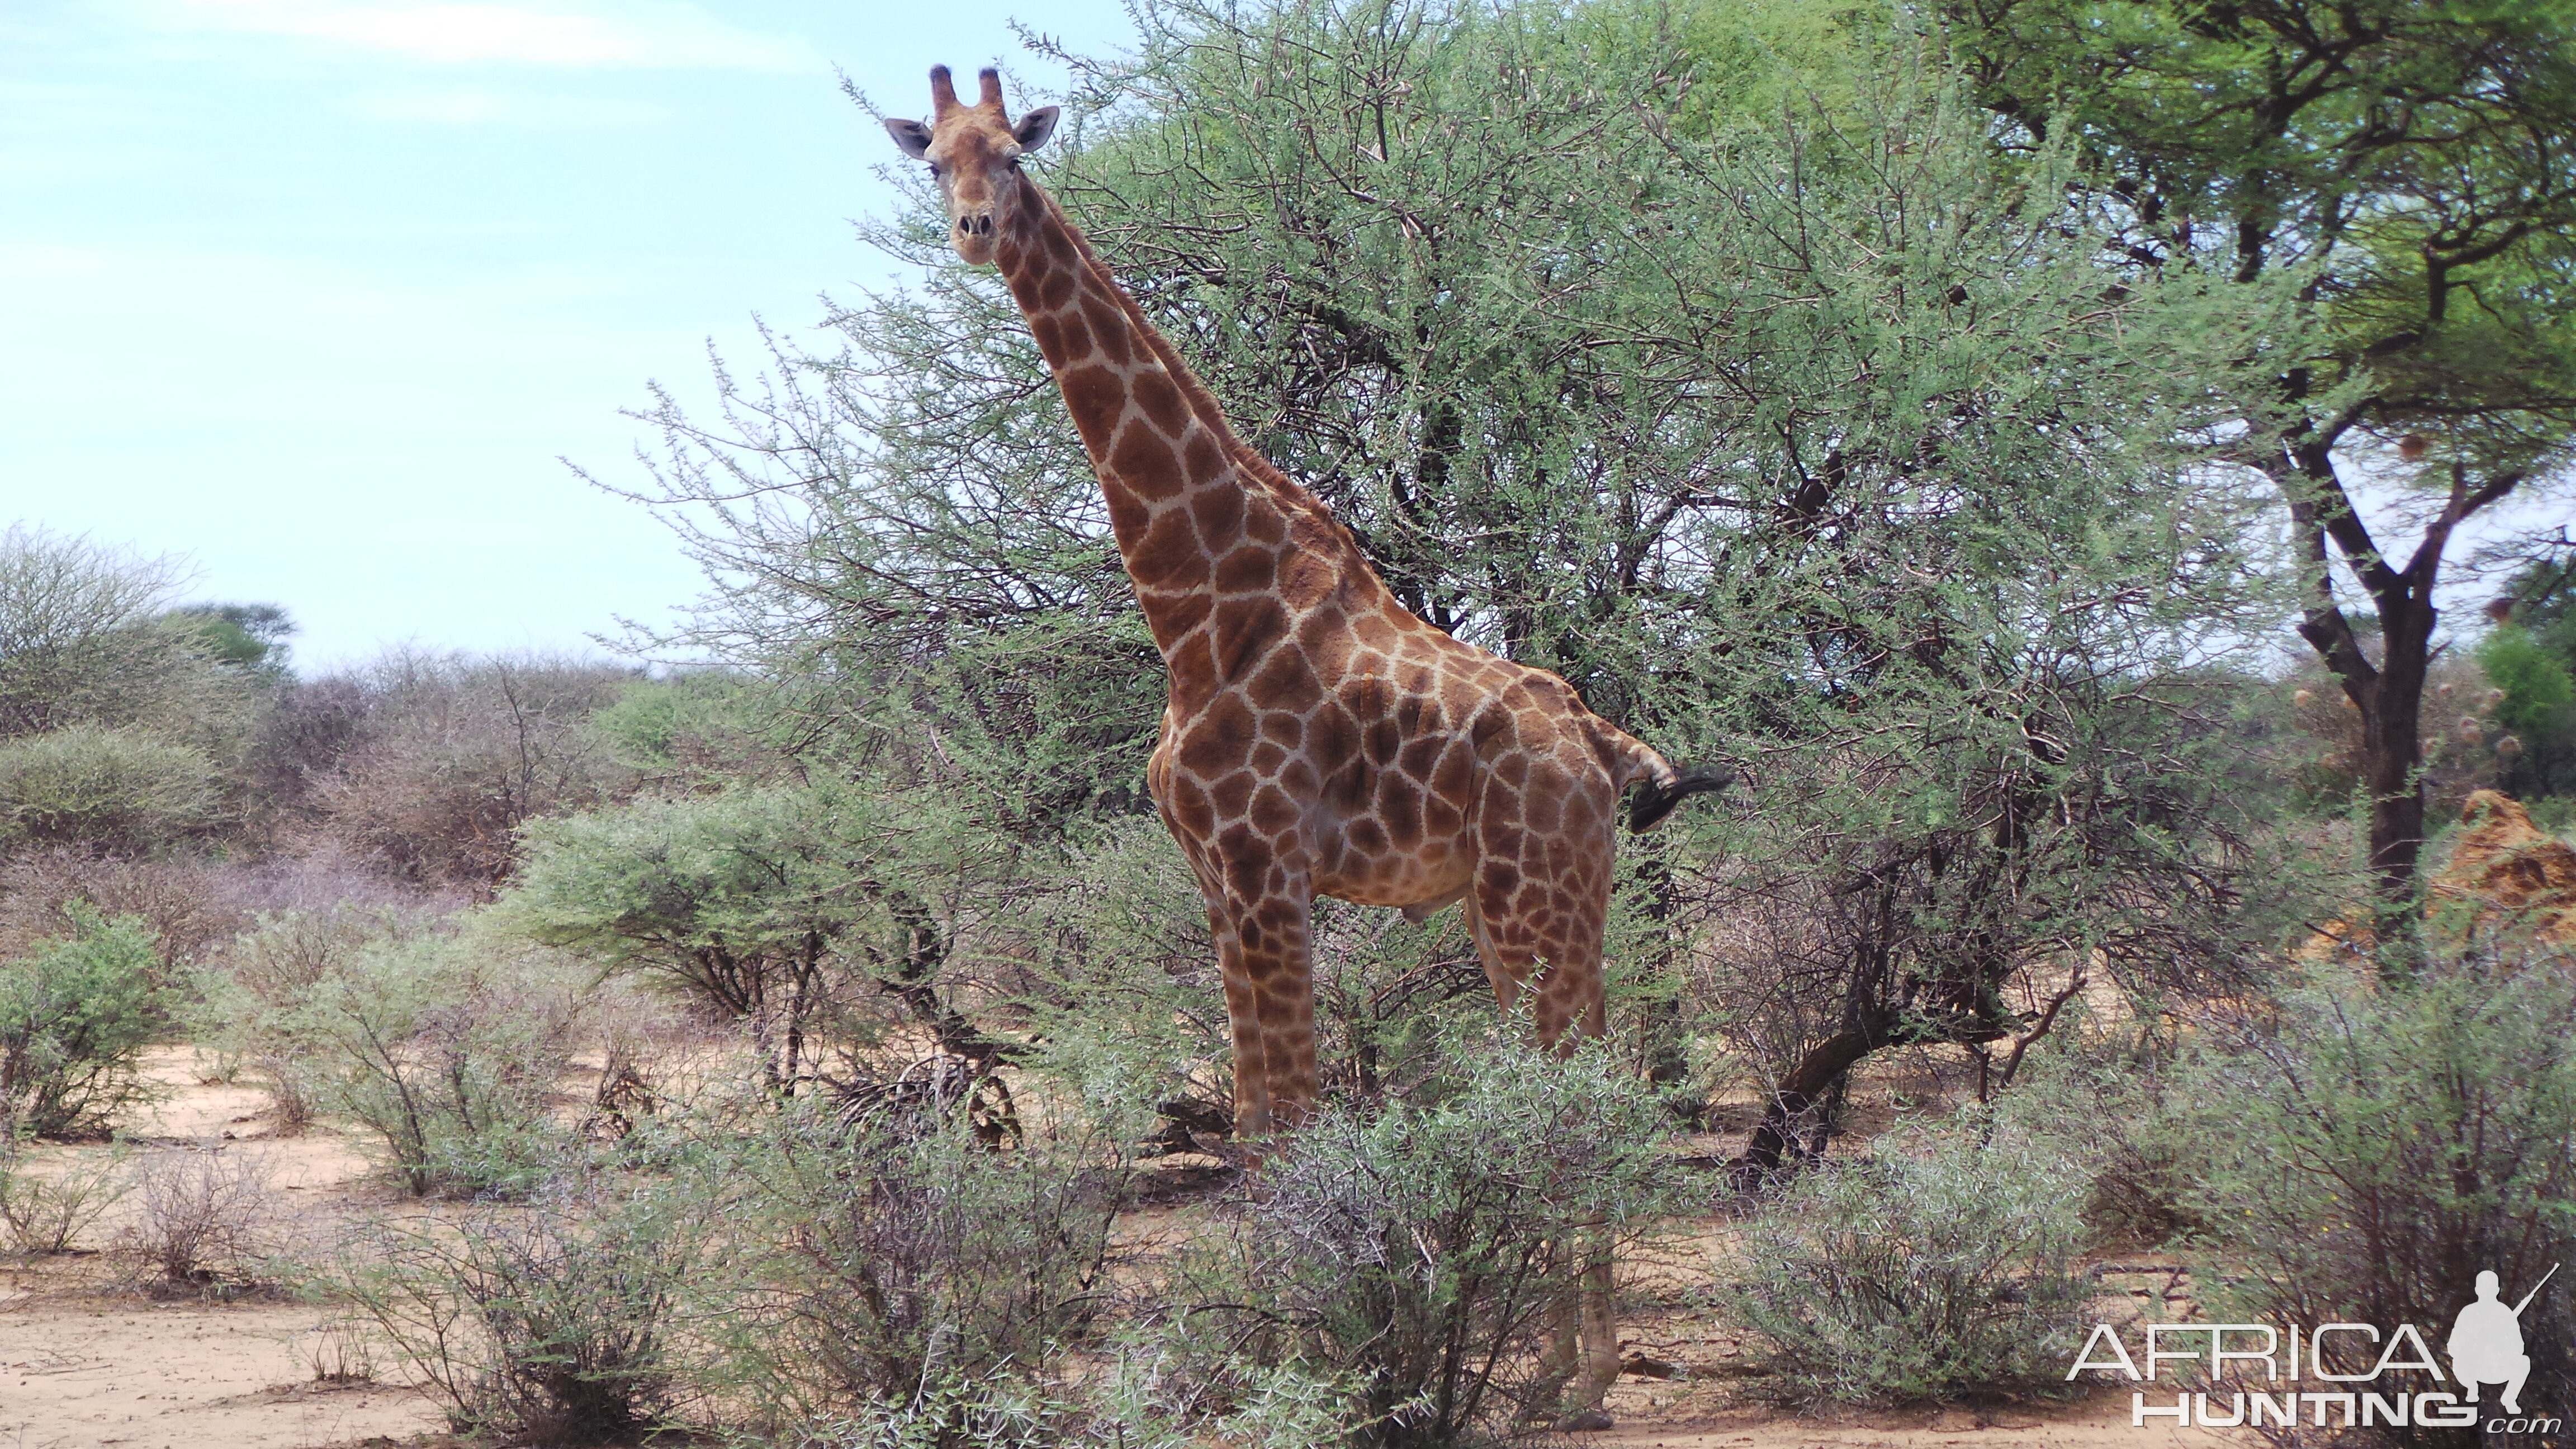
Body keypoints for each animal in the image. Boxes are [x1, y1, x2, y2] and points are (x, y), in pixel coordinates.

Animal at [886, 68, 1731, 1423]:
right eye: (934, 164)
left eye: (1013, 158)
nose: (971, 232)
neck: (1196, 601)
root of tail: (1601, 747)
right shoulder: (1217, 880)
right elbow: (1256, 1123)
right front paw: (1282, 1352)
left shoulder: (1264, 869)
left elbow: (1286, 1123)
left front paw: (1303, 1362)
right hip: (1542, 905)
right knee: (1564, 1079)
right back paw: (1560, 1369)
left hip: (1530, 902)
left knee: (1574, 1087)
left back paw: (1582, 1383)